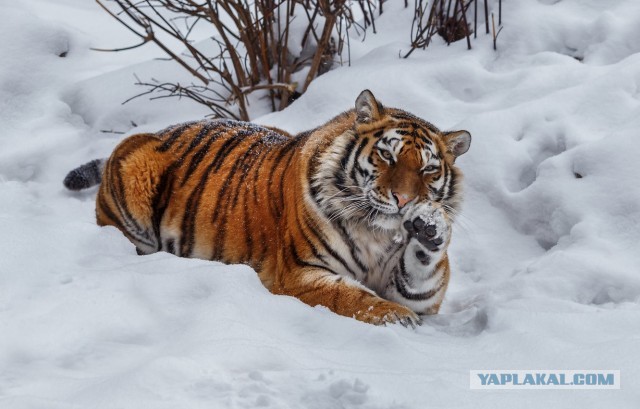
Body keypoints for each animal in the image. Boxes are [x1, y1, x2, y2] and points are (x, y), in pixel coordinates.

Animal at [64, 90, 471, 327]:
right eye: (387, 156)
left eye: (429, 169)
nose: (404, 200)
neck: (379, 233)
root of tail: (160, 130)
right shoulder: (299, 273)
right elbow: (351, 296)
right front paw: (396, 318)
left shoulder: (420, 291)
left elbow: (422, 274)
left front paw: (431, 226)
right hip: (134, 170)